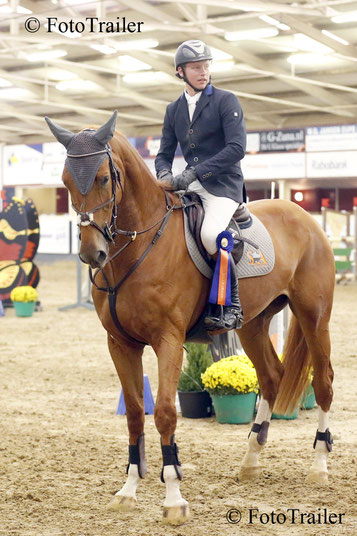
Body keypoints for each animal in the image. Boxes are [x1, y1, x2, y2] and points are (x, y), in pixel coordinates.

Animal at [44, 111, 334, 524]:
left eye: (103, 178)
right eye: (66, 181)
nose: (91, 253)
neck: (136, 248)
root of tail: (304, 217)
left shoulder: (168, 340)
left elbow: (165, 412)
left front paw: (173, 499)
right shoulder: (120, 344)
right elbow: (135, 413)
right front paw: (128, 491)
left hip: (314, 316)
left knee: (323, 382)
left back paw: (319, 466)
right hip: (253, 324)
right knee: (271, 377)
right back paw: (250, 461)